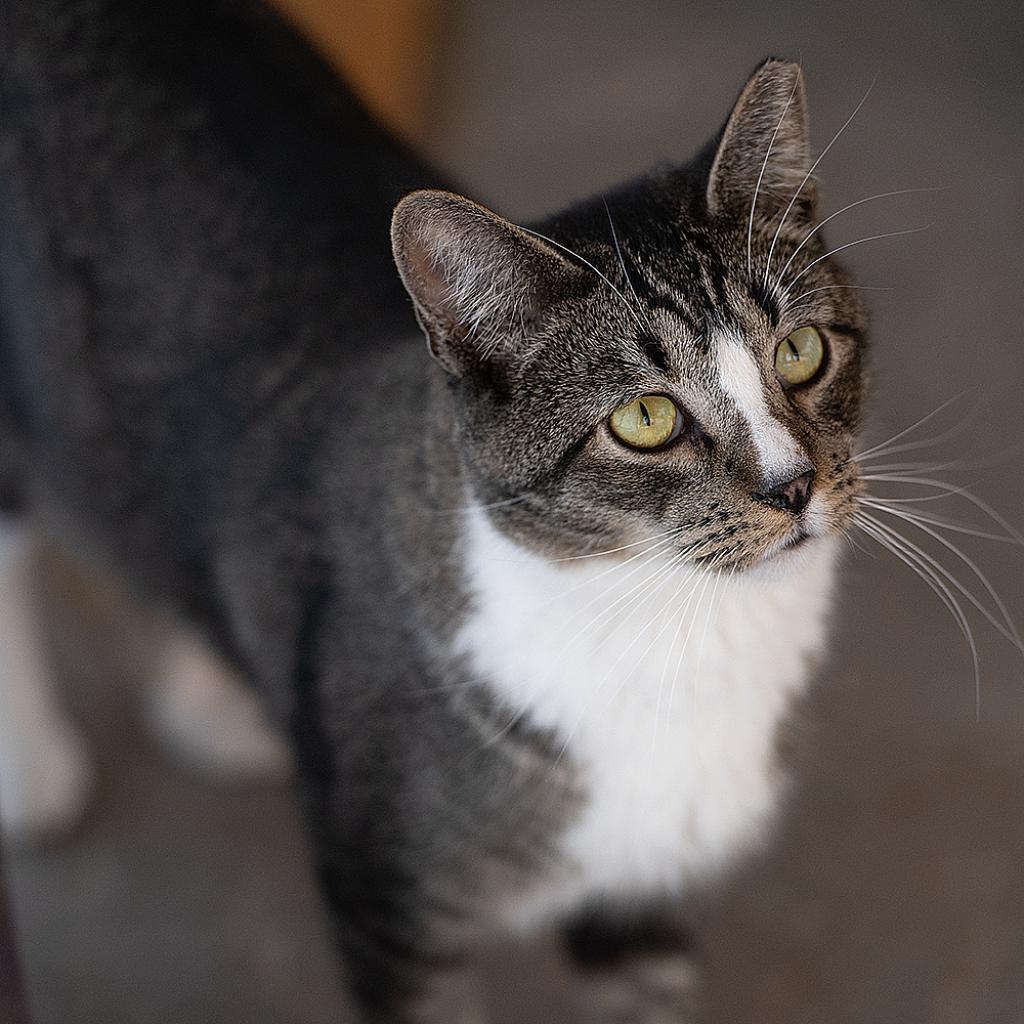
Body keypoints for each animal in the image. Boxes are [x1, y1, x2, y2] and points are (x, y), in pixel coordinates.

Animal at [0, 4, 868, 1019]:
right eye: (646, 420)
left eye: (802, 351)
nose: (792, 485)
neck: (670, 622)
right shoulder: (397, 907)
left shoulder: (643, 892)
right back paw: (33, 765)